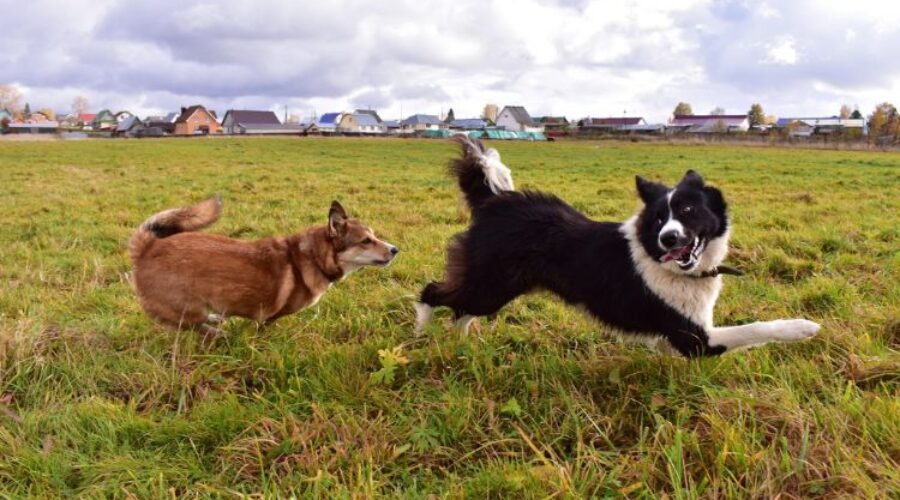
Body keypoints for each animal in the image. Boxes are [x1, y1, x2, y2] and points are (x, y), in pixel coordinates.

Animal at [128, 196, 396, 332]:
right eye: (366, 241)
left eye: (374, 236)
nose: (396, 249)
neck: (314, 257)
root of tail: (147, 247)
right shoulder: (269, 317)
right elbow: (263, 327)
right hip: (186, 308)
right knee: (191, 325)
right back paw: (217, 332)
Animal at [416, 137, 824, 356]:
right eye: (658, 219)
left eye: (688, 210)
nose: (669, 238)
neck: (664, 263)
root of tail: (495, 200)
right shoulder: (694, 340)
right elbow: (757, 328)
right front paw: (802, 327)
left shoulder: (672, 339)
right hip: (490, 285)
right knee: (431, 292)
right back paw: (420, 335)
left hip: (494, 287)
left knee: (459, 309)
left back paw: (460, 344)